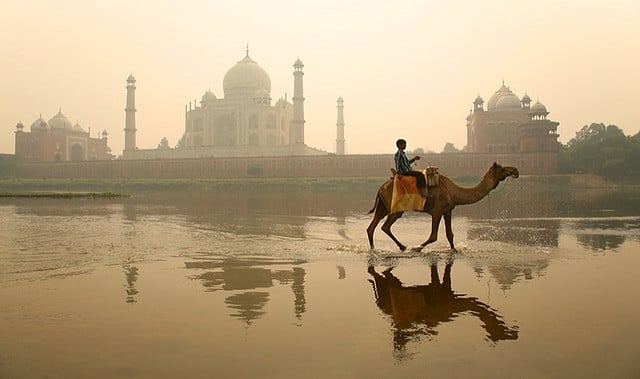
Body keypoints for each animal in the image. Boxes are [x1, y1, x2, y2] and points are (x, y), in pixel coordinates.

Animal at [368, 161, 516, 252]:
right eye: (502, 169)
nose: (515, 170)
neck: (454, 192)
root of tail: (381, 188)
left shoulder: (448, 210)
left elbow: (450, 235)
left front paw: (454, 249)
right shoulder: (437, 211)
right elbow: (433, 236)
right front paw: (417, 248)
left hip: (383, 205)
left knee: (372, 227)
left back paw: (374, 249)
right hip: (396, 208)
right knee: (385, 226)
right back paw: (403, 247)